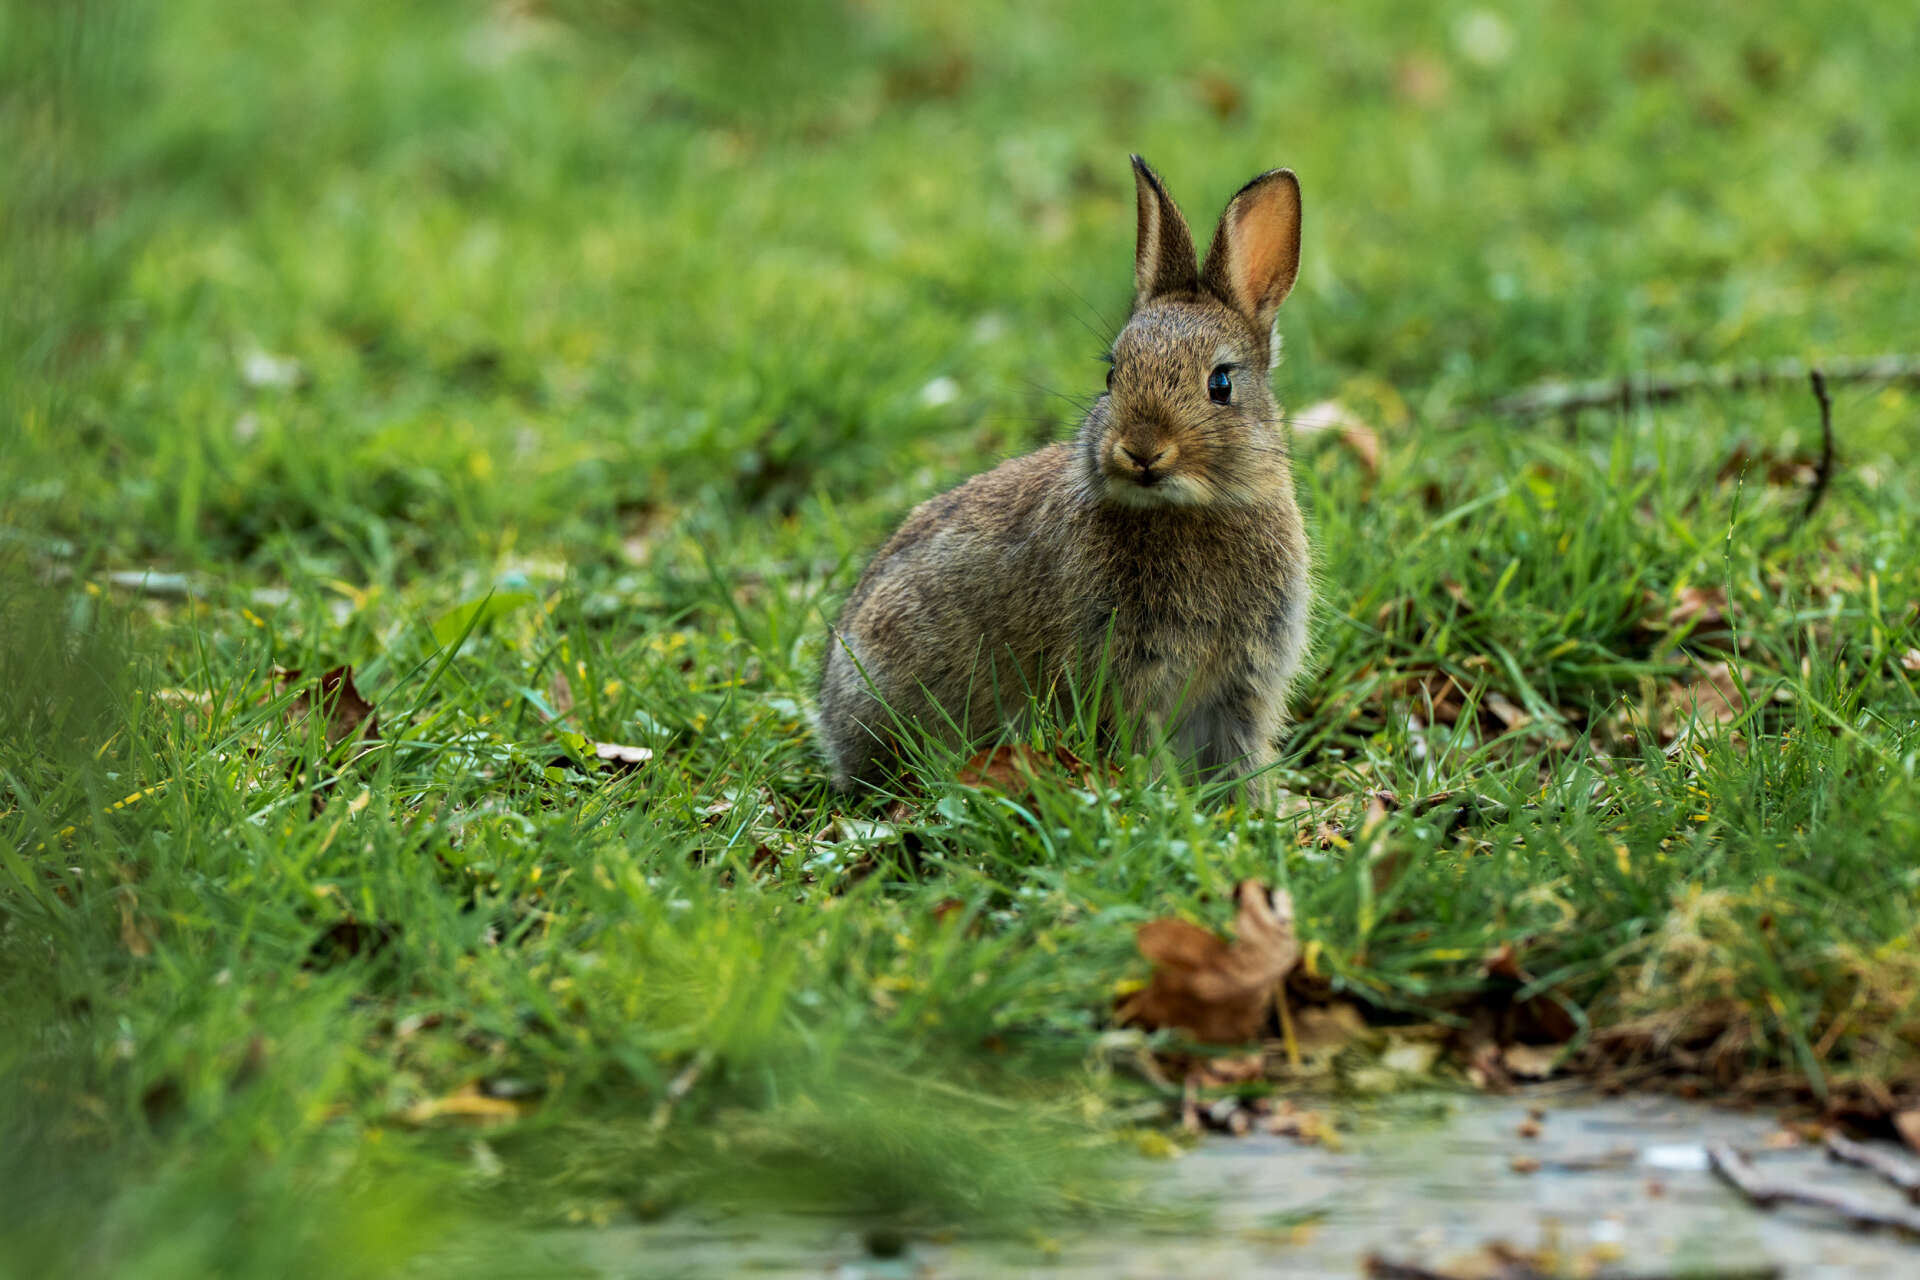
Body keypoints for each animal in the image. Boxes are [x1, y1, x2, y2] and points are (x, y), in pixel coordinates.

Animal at [818, 156, 1311, 795]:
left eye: (1220, 384)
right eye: (1112, 375)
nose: (1140, 451)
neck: (1186, 511)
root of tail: (829, 717)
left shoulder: (1243, 688)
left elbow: (1242, 758)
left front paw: (1254, 809)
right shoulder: (1127, 678)